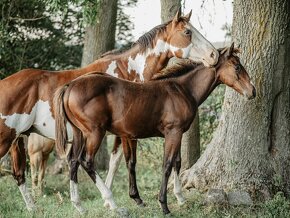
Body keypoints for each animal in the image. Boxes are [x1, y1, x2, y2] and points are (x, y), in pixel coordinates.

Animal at [0, 9, 218, 212]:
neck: (128, 71)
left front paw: (108, 200)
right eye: (188, 32)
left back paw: (34, 207)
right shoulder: (127, 133)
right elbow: (128, 161)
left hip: (18, 140)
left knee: (19, 174)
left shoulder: (120, 133)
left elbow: (114, 161)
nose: (214, 55)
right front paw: (128, 199)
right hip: (8, 139)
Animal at [52, 43, 256, 215]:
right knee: (86, 161)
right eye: (237, 67)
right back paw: (113, 204)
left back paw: (79, 206)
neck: (182, 90)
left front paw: (180, 198)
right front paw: (164, 205)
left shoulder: (177, 133)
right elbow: (167, 165)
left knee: (73, 160)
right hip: (95, 133)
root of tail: (70, 86)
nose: (252, 92)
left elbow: (177, 162)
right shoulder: (172, 133)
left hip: (79, 133)